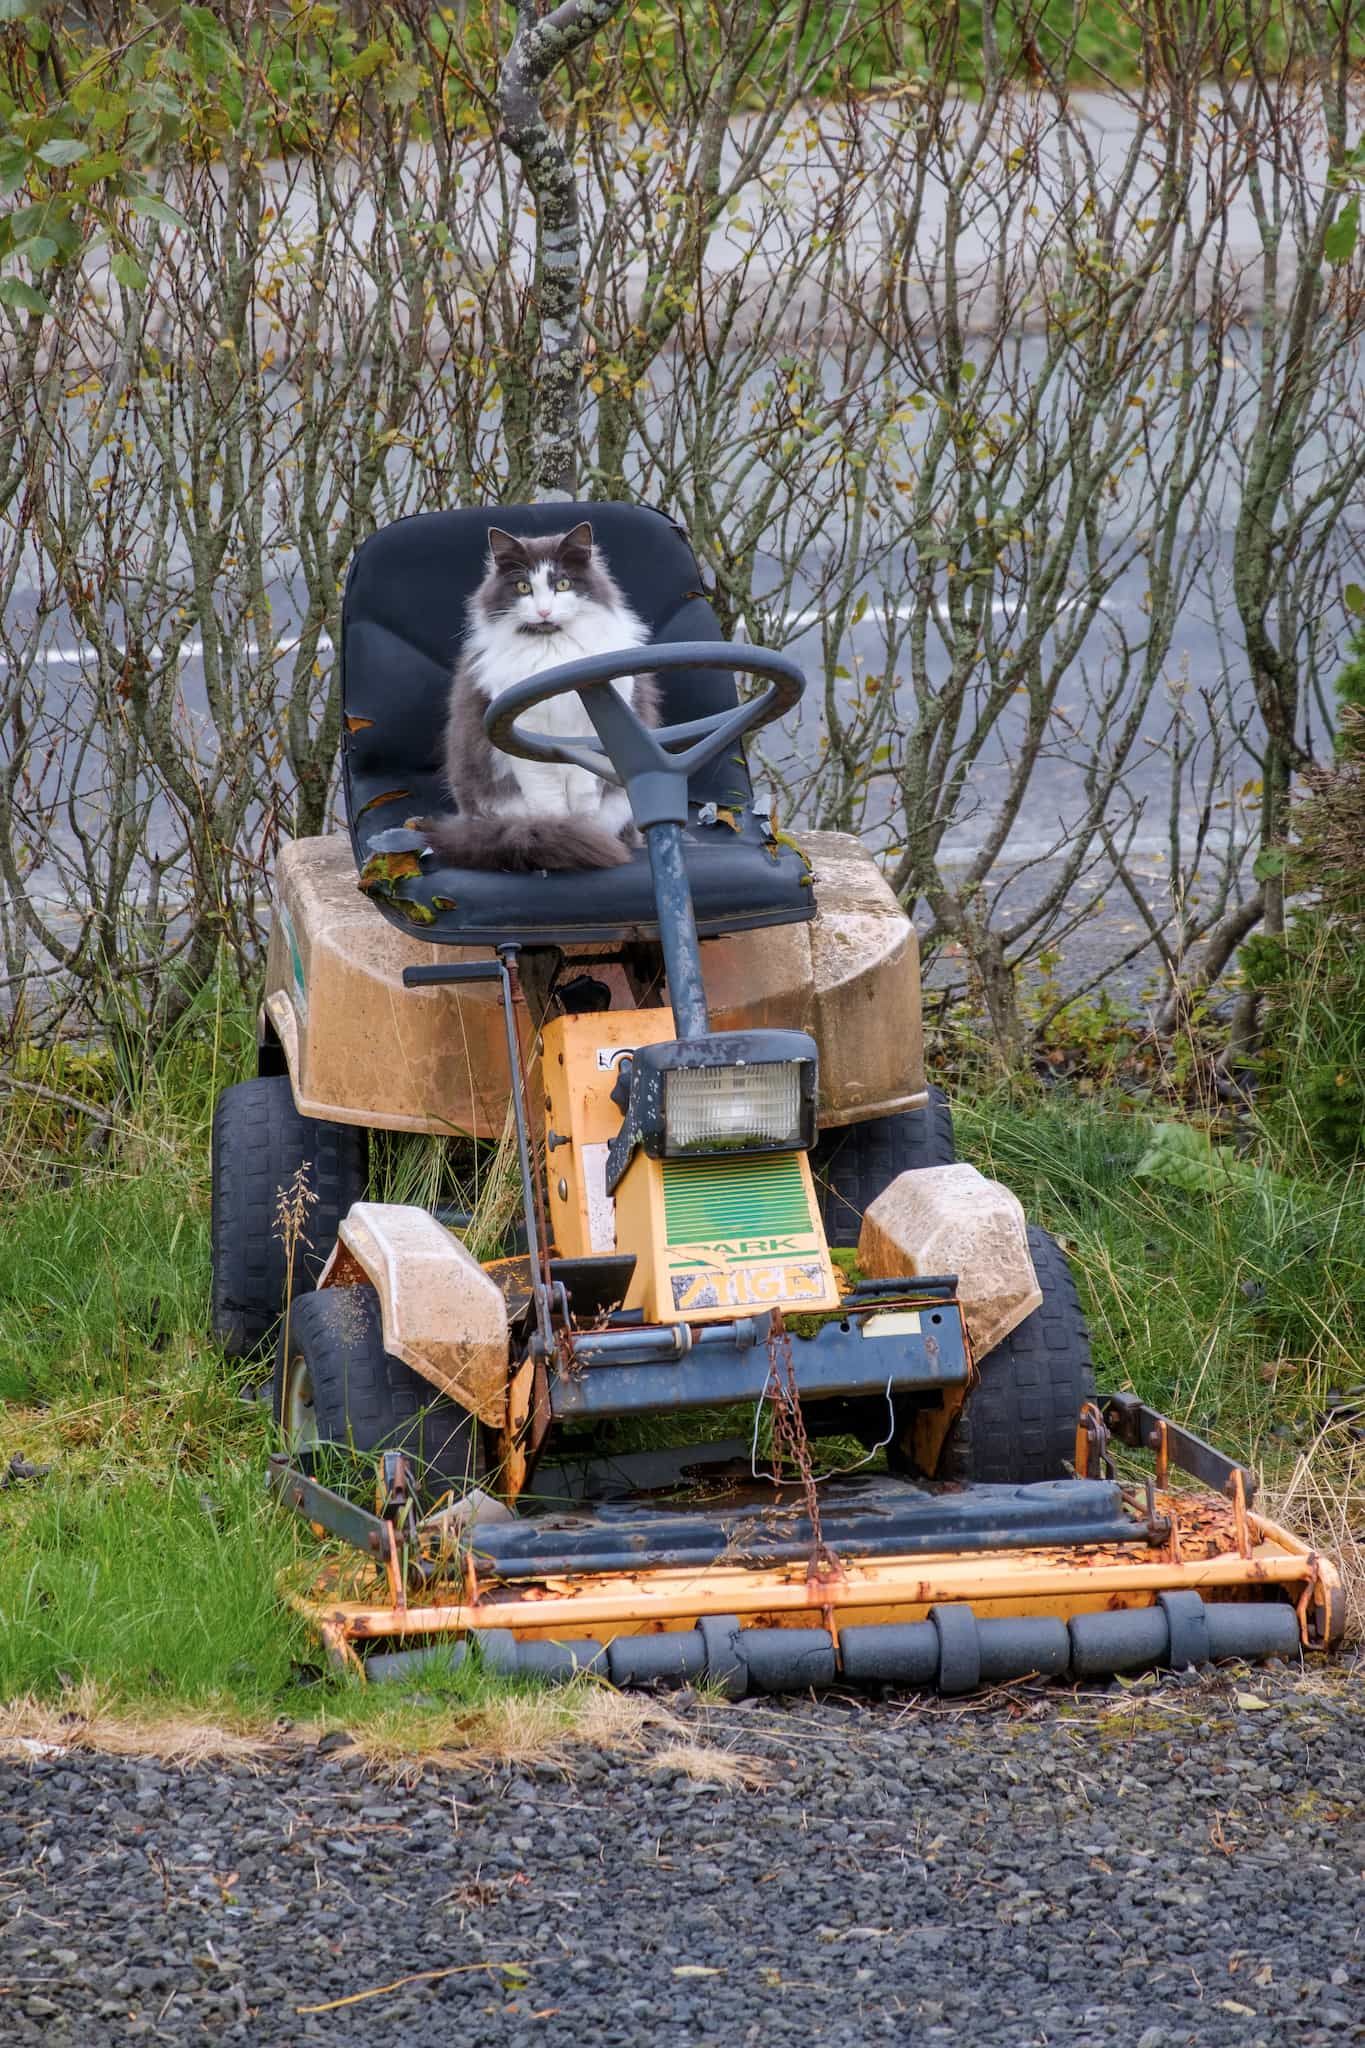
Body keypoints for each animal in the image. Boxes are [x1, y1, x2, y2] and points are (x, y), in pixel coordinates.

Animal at [411, 520, 654, 872]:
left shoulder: (591, 731)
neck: (552, 649)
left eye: (562, 584)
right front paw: (563, 832)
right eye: (523, 587)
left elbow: (584, 793)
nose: (544, 611)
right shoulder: (524, 732)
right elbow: (548, 800)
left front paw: (584, 831)